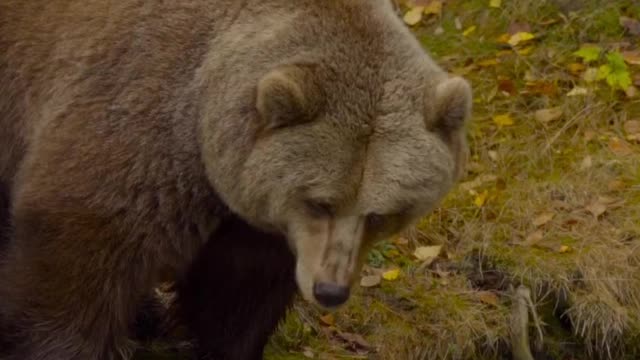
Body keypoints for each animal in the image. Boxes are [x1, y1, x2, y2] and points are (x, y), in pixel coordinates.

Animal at [0, 0, 470, 360]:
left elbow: (235, 296)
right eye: (320, 202)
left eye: (381, 215)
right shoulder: (136, 133)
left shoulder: (254, 221)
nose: (330, 290)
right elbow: (76, 270)